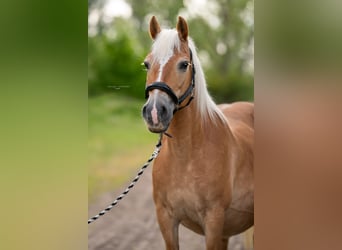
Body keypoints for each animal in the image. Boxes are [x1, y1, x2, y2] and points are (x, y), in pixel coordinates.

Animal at [142, 16, 254, 250]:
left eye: (184, 64)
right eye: (146, 64)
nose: (155, 112)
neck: (185, 157)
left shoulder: (213, 220)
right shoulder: (166, 219)